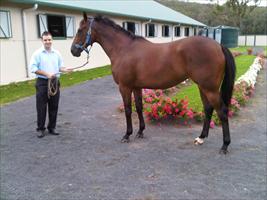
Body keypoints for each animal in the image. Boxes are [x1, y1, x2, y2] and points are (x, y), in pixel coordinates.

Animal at [71, 12, 237, 154]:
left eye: (80, 30)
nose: (73, 51)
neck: (124, 49)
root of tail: (218, 46)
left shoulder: (125, 87)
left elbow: (128, 110)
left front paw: (127, 135)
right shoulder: (136, 87)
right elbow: (139, 107)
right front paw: (140, 132)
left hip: (210, 89)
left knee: (222, 112)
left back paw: (225, 145)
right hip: (203, 87)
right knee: (208, 109)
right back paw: (201, 138)